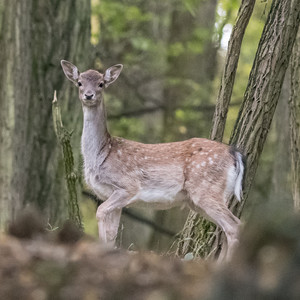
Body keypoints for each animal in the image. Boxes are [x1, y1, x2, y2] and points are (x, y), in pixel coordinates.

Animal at [60, 60, 244, 260]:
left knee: (235, 226)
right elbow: (112, 234)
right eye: (79, 82)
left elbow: (100, 213)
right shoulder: (111, 195)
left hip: (206, 190)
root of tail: (234, 154)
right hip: (202, 199)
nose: (88, 95)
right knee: (225, 229)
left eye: (101, 83)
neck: (101, 154)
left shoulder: (128, 186)